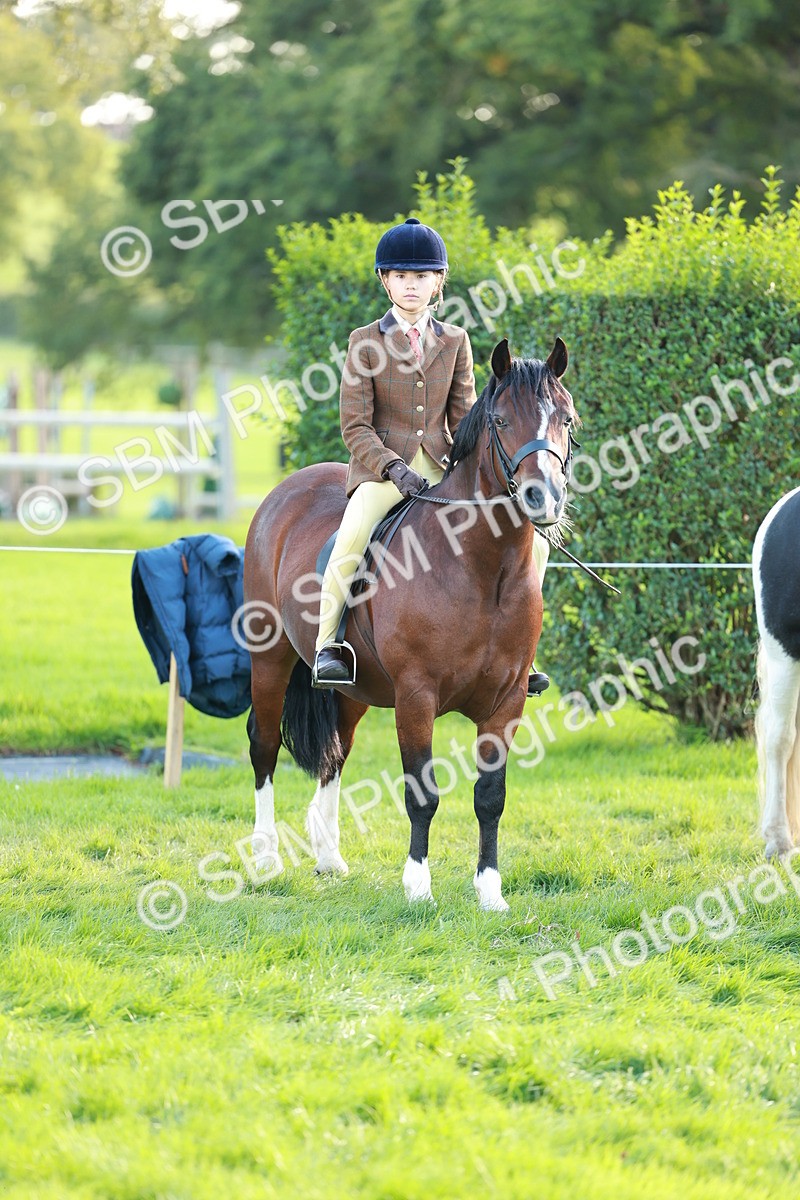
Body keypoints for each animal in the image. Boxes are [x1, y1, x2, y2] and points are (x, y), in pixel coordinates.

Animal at [242, 336, 578, 909]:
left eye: (567, 420)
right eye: (502, 421)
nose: (545, 498)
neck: (481, 568)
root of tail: (284, 491)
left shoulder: (507, 700)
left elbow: (490, 797)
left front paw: (491, 893)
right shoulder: (417, 695)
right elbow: (422, 793)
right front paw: (418, 886)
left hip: (352, 688)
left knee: (335, 752)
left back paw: (329, 858)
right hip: (269, 660)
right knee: (264, 746)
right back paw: (266, 861)